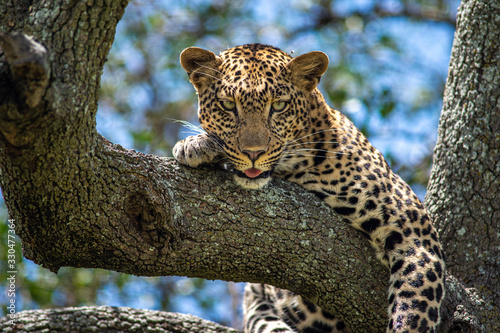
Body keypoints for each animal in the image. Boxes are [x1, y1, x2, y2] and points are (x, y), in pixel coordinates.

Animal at [173, 42, 446, 330]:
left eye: (279, 106)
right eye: (227, 105)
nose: (253, 152)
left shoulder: (413, 230)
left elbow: (413, 306)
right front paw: (196, 145)